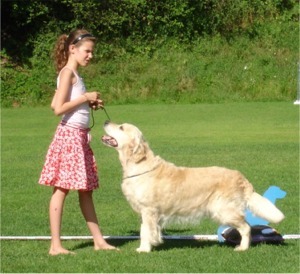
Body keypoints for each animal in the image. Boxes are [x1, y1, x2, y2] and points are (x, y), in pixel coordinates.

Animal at [101, 121, 284, 253]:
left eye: (121, 127)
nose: (105, 121)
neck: (139, 165)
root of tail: (242, 177)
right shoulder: (147, 213)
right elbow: (145, 230)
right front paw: (149, 245)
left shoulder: (148, 210)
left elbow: (145, 231)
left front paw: (144, 249)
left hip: (223, 209)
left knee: (246, 227)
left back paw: (242, 248)